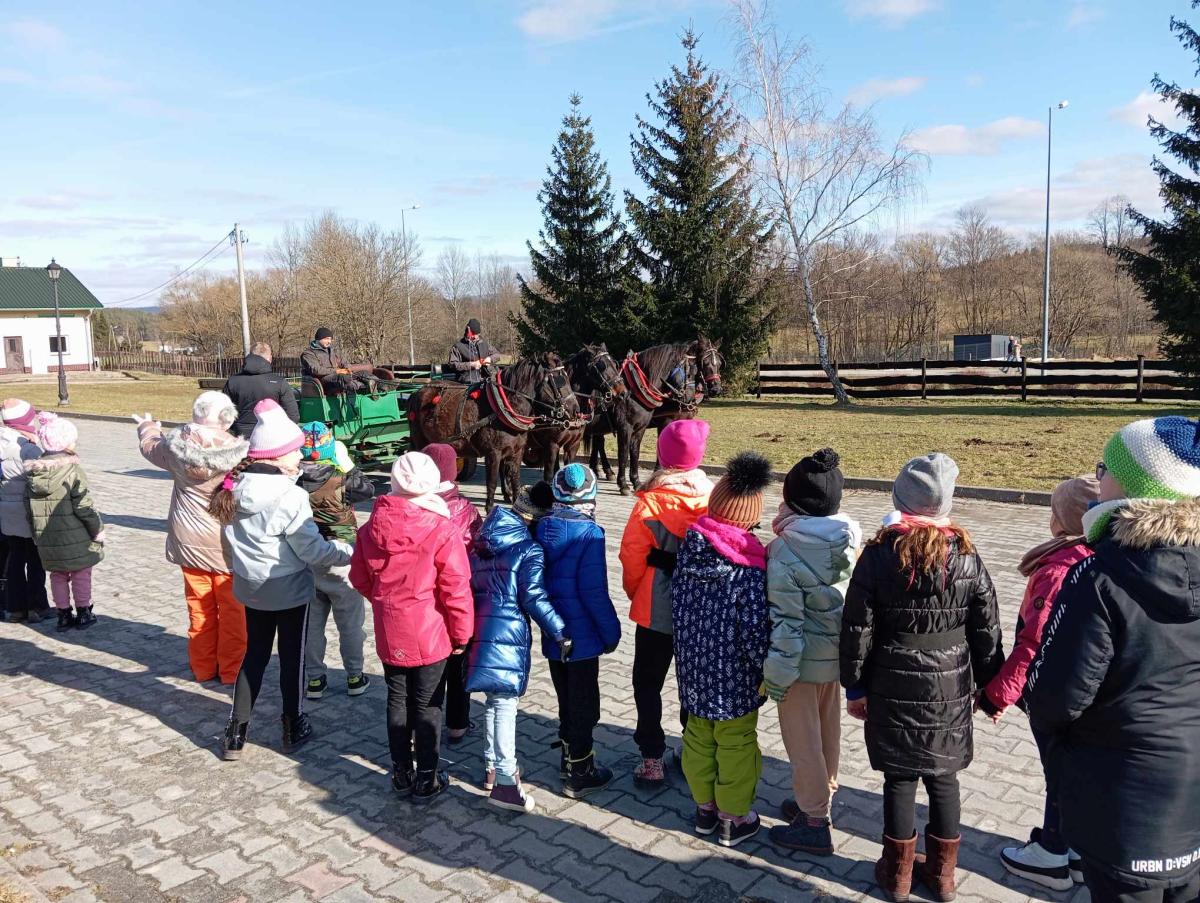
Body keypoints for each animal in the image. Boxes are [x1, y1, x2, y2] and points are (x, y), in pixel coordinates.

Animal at [408, 350, 576, 509]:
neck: (503, 406)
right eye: (560, 379)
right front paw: (489, 510)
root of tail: (416, 392)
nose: (575, 409)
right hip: (420, 442)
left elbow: (516, 480)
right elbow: (492, 483)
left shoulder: (517, 452)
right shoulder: (493, 453)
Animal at [583, 336, 720, 497]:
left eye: (719, 363)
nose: (716, 388)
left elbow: (637, 452)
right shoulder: (634, 426)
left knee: (598, 442)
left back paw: (601, 469)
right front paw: (627, 483)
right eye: (704, 363)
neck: (635, 388)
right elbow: (625, 453)